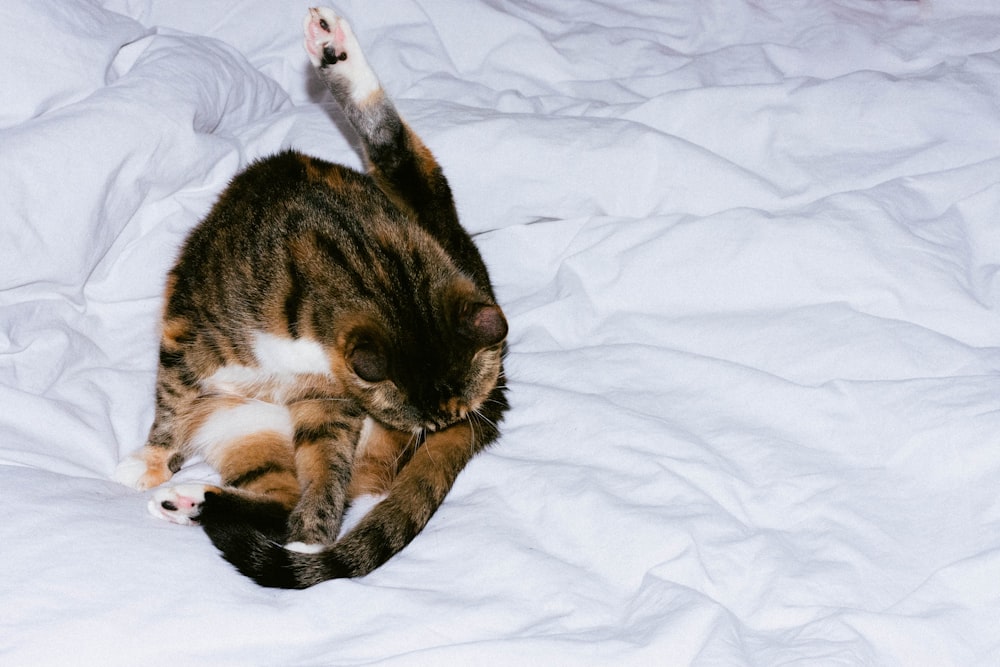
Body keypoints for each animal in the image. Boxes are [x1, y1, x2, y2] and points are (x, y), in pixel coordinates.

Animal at [113, 6, 512, 588]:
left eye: (435, 426)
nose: (437, 429)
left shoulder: (333, 399)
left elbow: (327, 468)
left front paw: (311, 541)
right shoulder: (187, 330)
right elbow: (171, 399)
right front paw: (151, 460)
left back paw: (193, 503)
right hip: (242, 421)